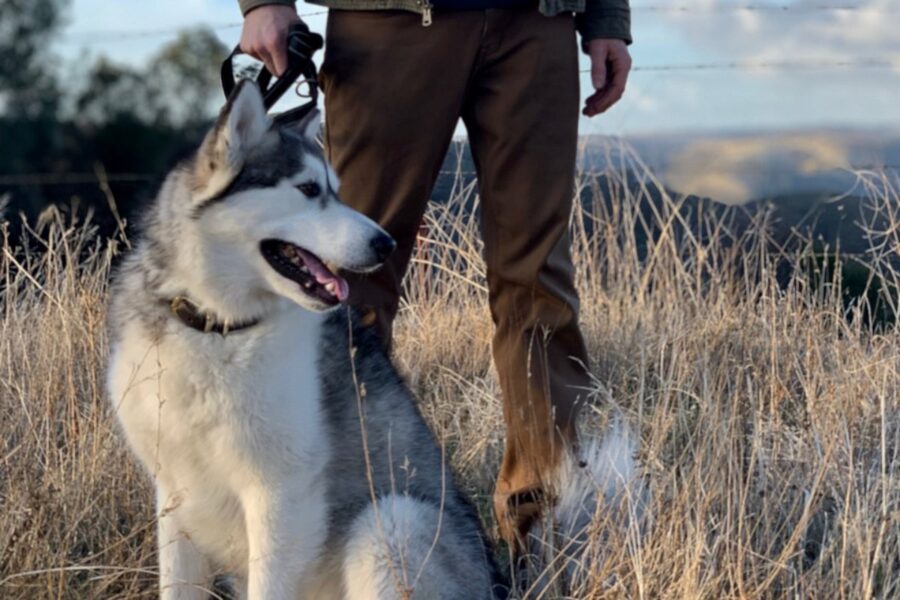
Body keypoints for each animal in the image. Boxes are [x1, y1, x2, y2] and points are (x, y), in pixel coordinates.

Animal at [110, 81, 502, 600]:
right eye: (309, 189)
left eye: (334, 189)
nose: (386, 244)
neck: (219, 330)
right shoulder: (175, 493)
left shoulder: (280, 496)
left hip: (391, 522)